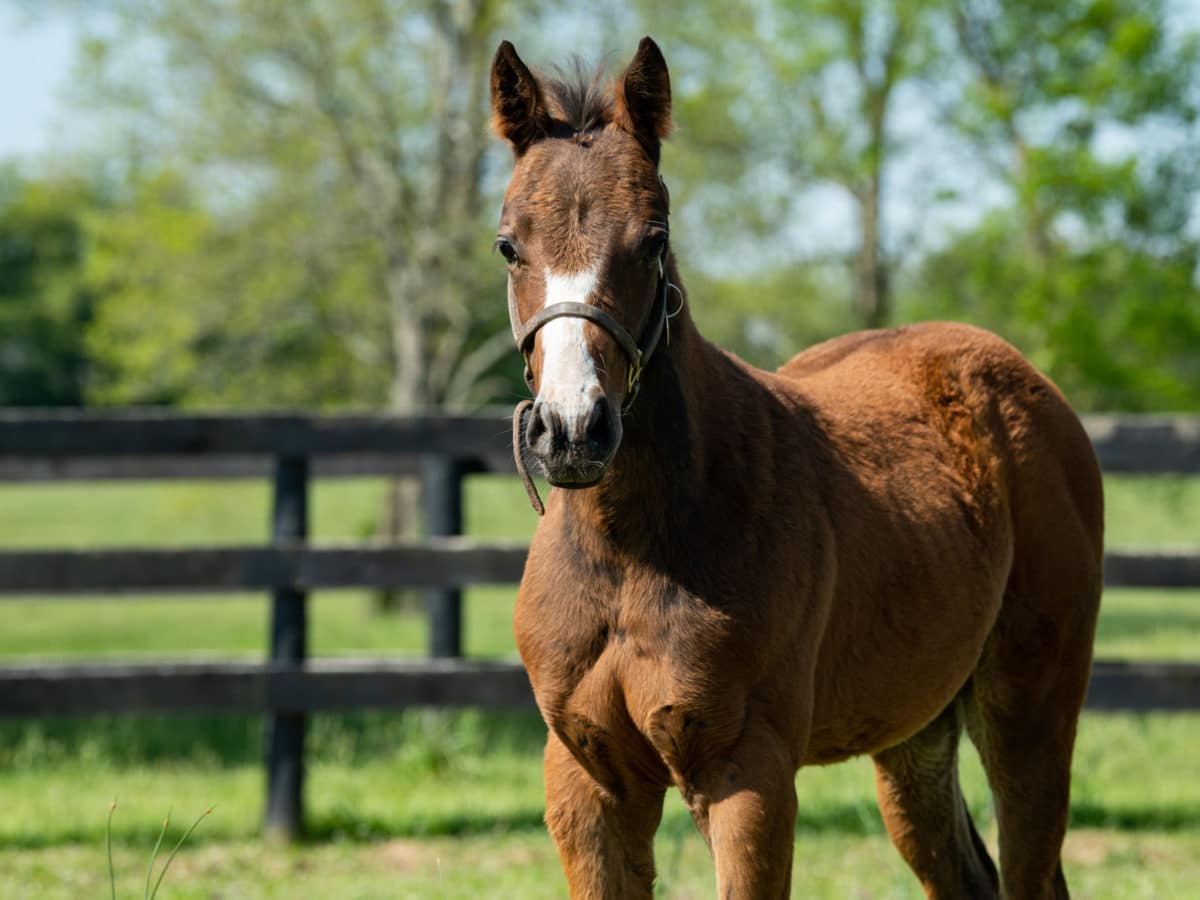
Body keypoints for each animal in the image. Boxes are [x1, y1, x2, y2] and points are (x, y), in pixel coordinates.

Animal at [487, 37, 1099, 900]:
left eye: (653, 238)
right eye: (509, 244)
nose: (573, 429)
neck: (633, 552)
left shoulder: (749, 773)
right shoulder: (588, 782)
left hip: (1030, 710)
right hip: (916, 732)